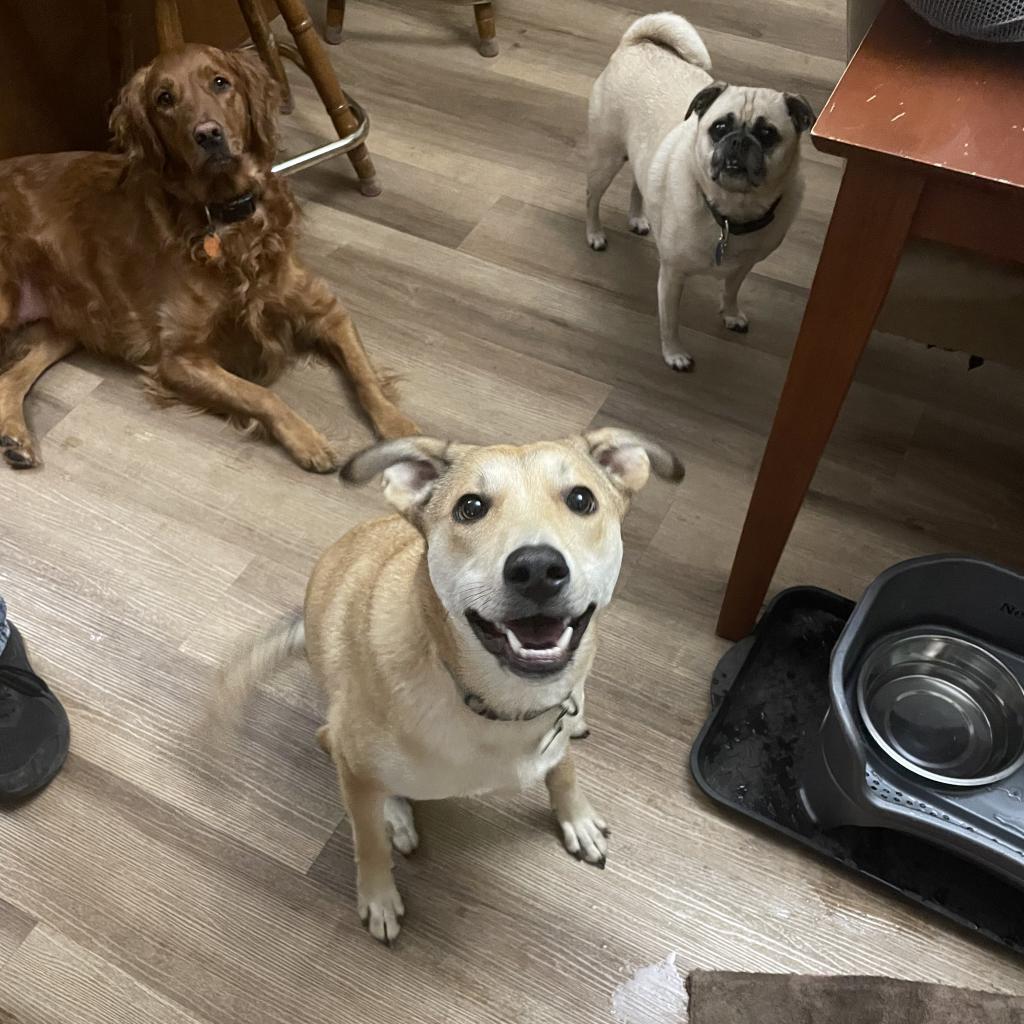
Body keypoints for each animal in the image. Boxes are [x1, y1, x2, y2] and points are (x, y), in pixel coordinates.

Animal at [220, 425, 684, 942]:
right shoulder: (353, 761)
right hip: (339, 735)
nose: (537, 569)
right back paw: (395, 816)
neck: (500, 704)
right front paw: (378, 896)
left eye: (581, 499)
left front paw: (576, 818)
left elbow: (563, 770)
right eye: (471, 507)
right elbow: (367, 841)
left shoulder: (557, 723)